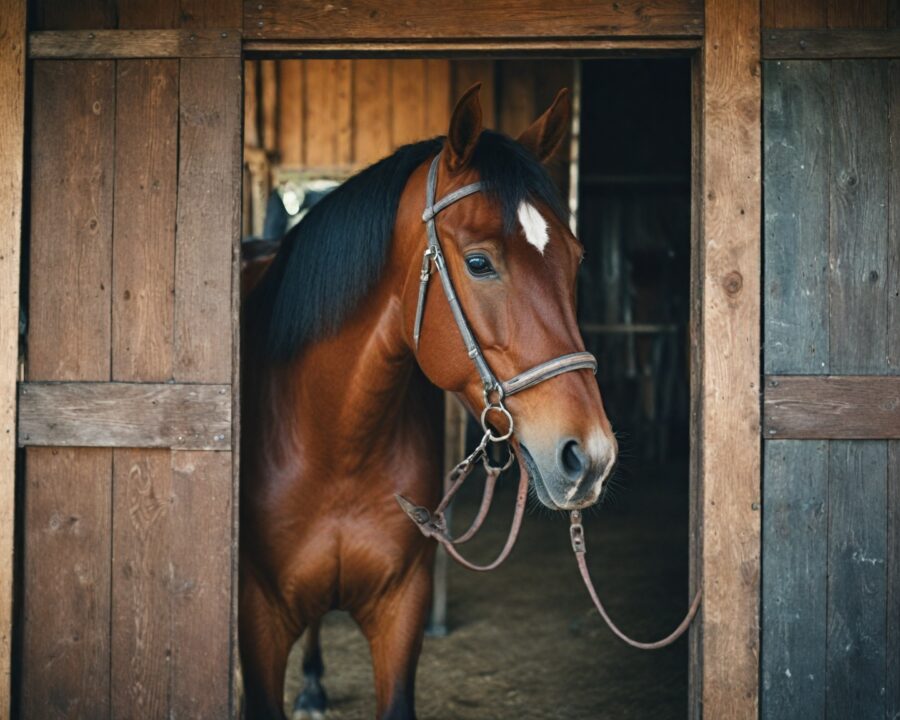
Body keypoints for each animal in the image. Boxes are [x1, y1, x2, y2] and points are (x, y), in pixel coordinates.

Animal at [240, 83, 618, 720]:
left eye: (576, 259)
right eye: (479, 263)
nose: (590, 456)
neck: (333, 442)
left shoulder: (401, 612)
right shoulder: (259, 626)